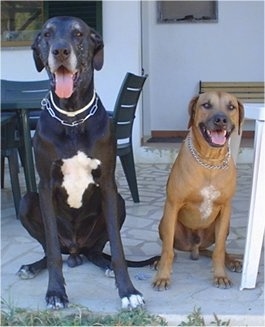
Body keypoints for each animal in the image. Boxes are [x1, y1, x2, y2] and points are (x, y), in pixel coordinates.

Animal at [17, 16, 154, 312]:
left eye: (78, 34)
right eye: (47, 34)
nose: (60, 51)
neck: (72, 117)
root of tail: (75, 249)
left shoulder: (108, 186)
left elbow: (118, 249)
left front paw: (128, 292)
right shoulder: (45, 186)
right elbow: (53, 253)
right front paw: (56, 292)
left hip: (118, 205)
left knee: (96, 251)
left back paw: (104, 264)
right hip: (27, 201)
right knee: (52, 249)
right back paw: (33, 266)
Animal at [153, 91, 243, 290]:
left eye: (231, 107)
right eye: (206, 105)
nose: (221, 120)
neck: (209, 160)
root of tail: (194, 248)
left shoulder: (226, 208)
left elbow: (219, 250)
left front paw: (220, 275)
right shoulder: (173, 204)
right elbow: (167, 250)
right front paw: (162, 276)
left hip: (223, 227)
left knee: (217, 249)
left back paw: (232, 261)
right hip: (165, 223)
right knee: (170, 248)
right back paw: (158, 261)